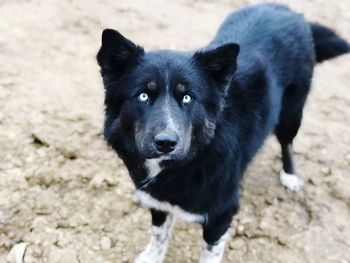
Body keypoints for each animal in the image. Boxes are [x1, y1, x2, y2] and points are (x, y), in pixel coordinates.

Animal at [96, 3, 350, 262]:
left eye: (187, 97)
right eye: (143, 95)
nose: (166, 143)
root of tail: (286, 9)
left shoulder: (221, 215)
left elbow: (210, 252)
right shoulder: (157, 200)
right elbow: (159, 234)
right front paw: (152, 256)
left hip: (292, 112)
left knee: (287, 143)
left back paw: (290, 175)